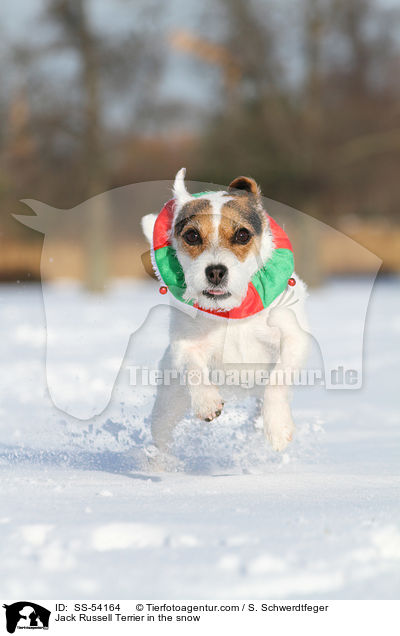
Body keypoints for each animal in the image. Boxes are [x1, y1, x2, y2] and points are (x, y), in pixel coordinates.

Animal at [141, 169, 310, 458]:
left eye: (242, 235)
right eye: (192, 236)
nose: (216, 271)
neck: (232, 309)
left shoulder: (294, 339)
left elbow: (279, 377)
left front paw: (277, 427)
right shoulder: (185, 345)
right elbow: (193, 367)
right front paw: (207, 402)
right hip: (168, 402)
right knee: (161, 438)